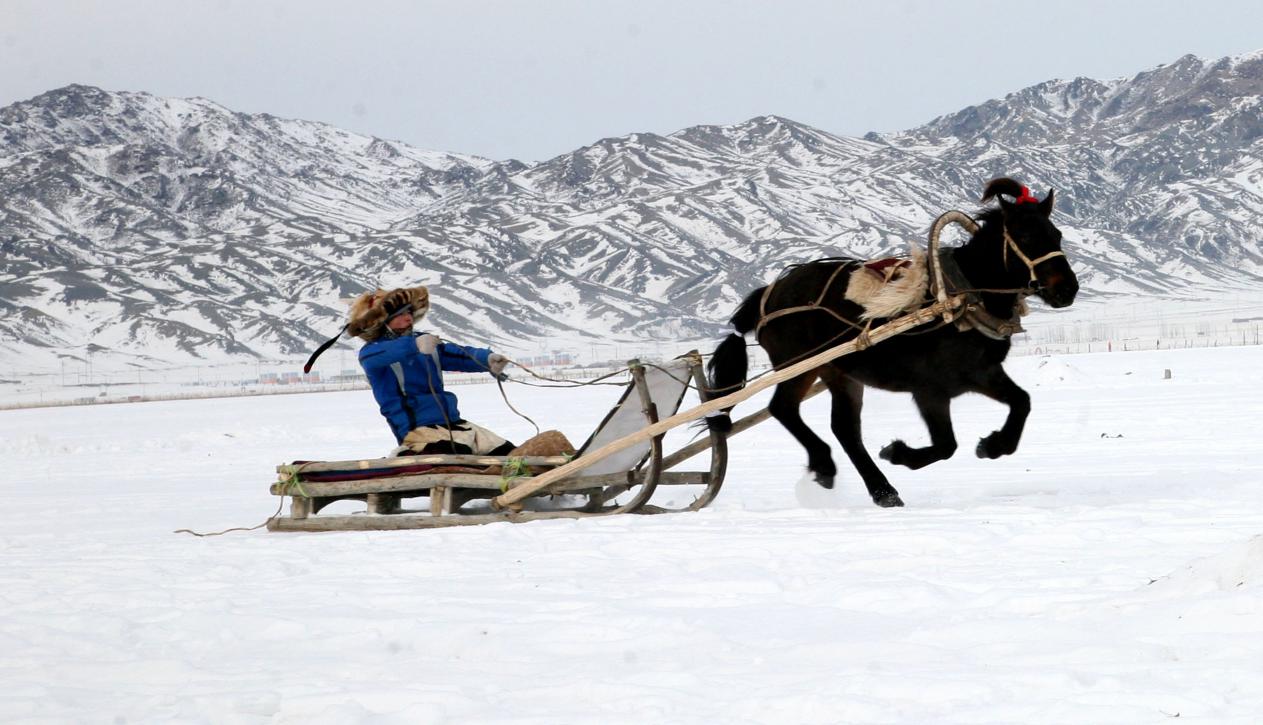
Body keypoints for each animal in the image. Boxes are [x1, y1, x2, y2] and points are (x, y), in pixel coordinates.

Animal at [707, 176, 1081, 507]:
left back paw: (881, 491)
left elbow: (1022, 402)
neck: (961, 299)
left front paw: (994, 445)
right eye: (1026, 235)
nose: (1067, 289)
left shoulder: (983, 373)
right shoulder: (930, 390)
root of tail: (769, 293)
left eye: (1056, 234)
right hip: (798, 365)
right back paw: (826, 465)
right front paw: (898, 452)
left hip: (838, 372)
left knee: (844, 429)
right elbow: (946, 445)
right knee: (783, 409)